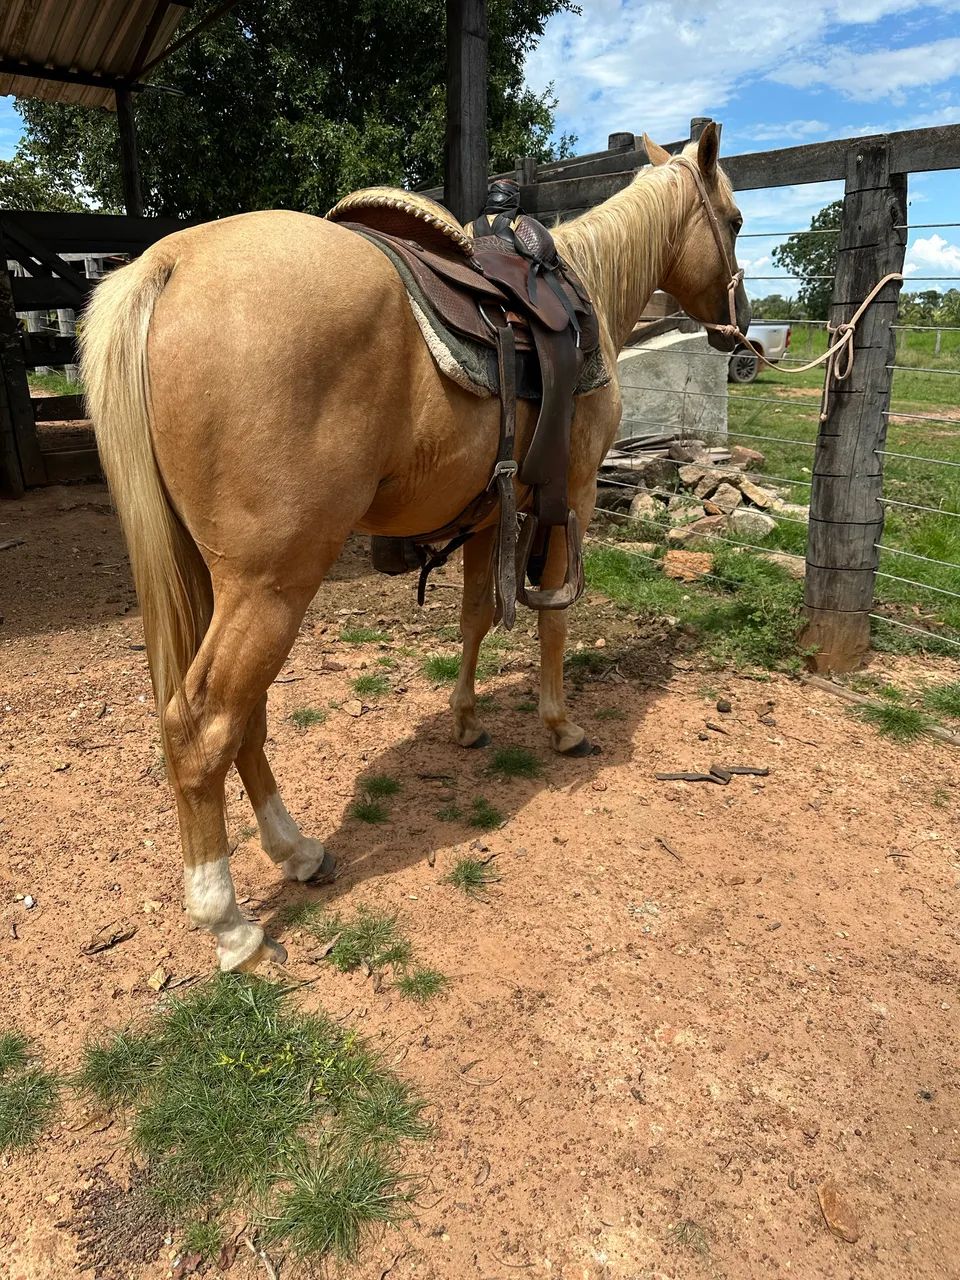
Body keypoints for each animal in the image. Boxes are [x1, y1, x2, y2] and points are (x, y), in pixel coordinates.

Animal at [81, 124, 748, 972]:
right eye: (733, 219)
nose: (739, 333)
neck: (587, 297)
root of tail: (171, 262)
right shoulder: (569, 500)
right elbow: (553, 622)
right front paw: (561, 726)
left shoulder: (494, 514)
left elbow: (474, 620)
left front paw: (465, 722)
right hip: (271, 584)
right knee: (204, 726)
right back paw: (228, 922)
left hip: (219, 579)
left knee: (245, 716)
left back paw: (297, 851)